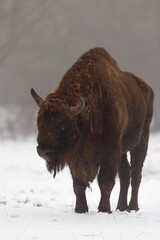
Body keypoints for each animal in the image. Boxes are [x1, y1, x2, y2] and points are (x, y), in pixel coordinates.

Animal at [31, 47, 154, 213]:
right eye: (39, 122)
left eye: (63, 124)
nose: (44, 151)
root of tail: (147, 88)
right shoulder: (76, 156)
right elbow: (78, 184)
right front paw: (80, 209)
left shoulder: (110, 150)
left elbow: (105, 181)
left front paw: (104, 209)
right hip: (122, 149)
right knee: (125, 173)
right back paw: (121, 207)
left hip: (142, 139)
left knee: (136, 173)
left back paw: (133, 207)